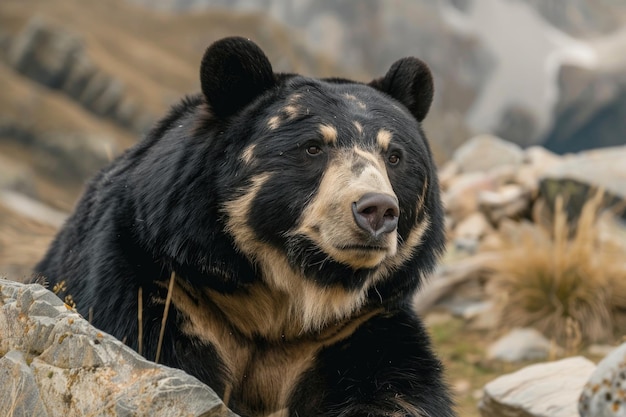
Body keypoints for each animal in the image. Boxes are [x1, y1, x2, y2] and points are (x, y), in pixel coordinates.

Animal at [34, 36, 454, 416]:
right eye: (313, 147)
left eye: (395, 156)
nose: (377, 210)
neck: (282, 303)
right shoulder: (163, 282)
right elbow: (144, 342)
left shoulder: (357, 326)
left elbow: (397, 388)